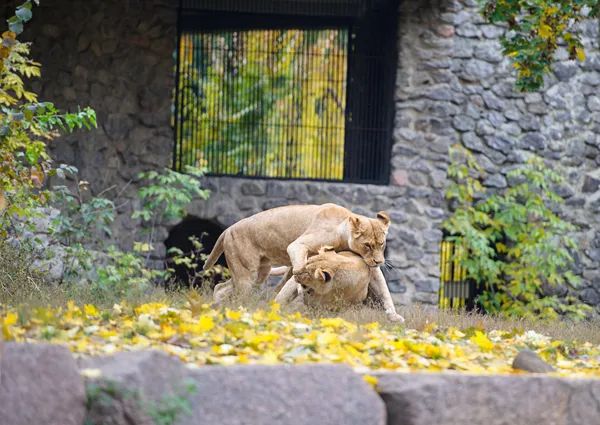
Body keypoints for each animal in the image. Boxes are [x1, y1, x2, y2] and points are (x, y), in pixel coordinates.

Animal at [204, 202, 406, 322]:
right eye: (368, 245)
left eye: (382, 244)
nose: (379, 261)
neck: (342, 229)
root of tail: (228, 228)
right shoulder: (297, 245)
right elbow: (300, 264)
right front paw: (302, 286)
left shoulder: (366, 266)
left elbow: (384, 292)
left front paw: (395, 316)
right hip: (247, 274)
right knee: (237, 294)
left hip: (259, 274)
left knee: (220, 287)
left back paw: (216, 308)